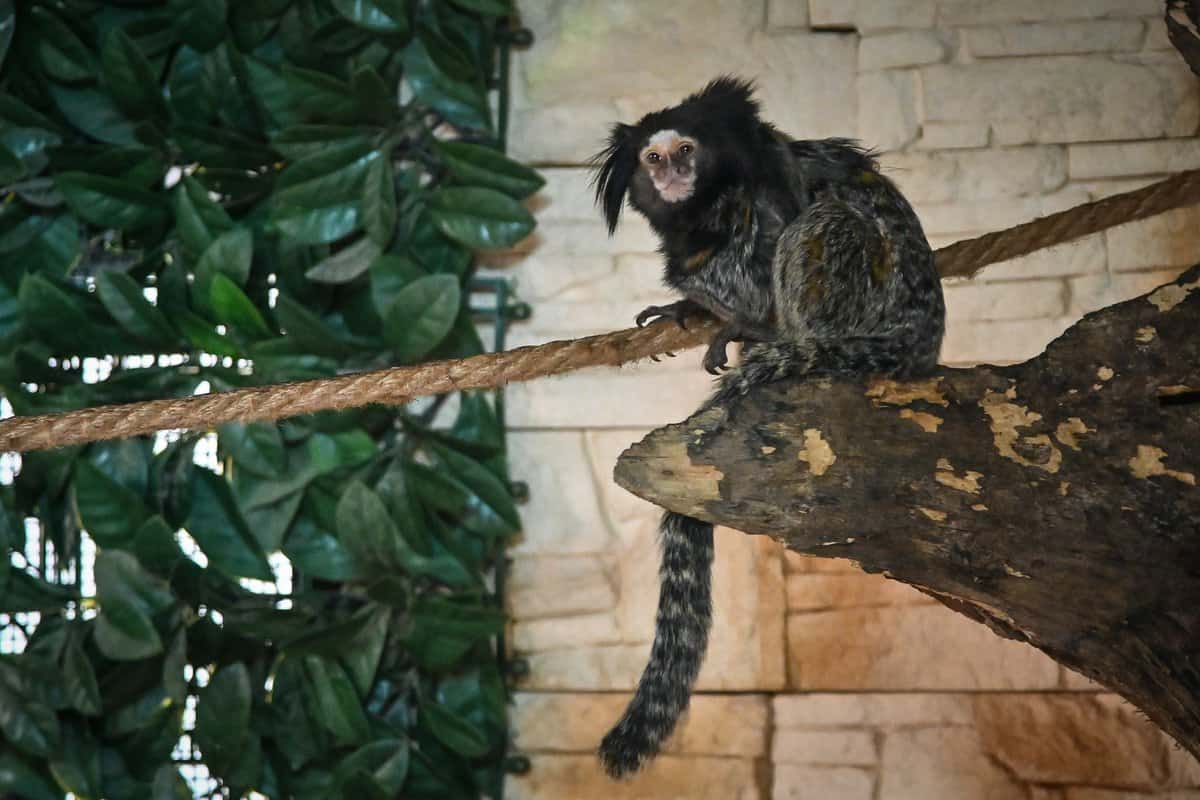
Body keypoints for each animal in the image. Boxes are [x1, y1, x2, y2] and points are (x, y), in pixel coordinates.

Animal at [590, 77, 945, 777]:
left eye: (687, 150)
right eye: (652, 158)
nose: (672, 174)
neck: (706, 213)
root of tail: (918, 343)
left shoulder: (755, 213)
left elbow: (762, 262)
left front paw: (732, 317)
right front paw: (686, 306)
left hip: (861, 295)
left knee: (827, 225)